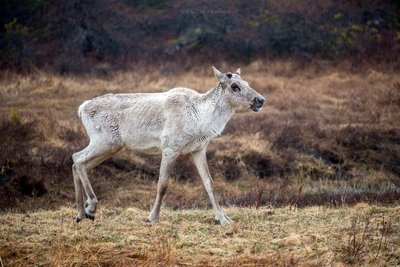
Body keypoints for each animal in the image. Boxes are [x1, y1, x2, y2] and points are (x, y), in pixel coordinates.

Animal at [72, 67, 266, 226]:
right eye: (235, 86)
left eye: (247, 83)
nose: (260, 100)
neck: (200, 118)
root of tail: (81, 108)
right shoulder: (170, 148)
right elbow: (163, 184)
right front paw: (153, 217)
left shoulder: (198, 149)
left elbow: (209, 183)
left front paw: (223, 219)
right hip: (104, 141)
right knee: (78, 158)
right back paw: (90, 208)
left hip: (112, 147)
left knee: (77, 163)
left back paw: (82, 213)